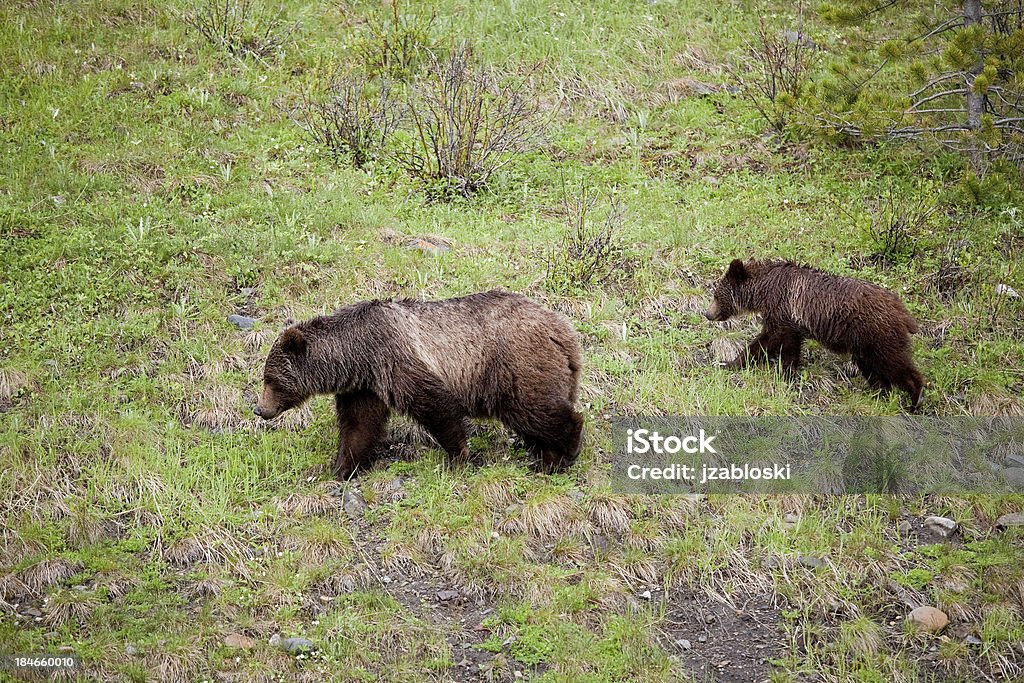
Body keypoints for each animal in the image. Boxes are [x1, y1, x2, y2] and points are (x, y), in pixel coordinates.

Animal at [253, 290, 585, 479]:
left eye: (271, 380)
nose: (260, 409)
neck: (356, 355)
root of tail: (563, 329)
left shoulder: (395, 358)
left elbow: (435, 405)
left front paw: (458, 456)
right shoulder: (365, 387)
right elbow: (359, 427)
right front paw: (342, 467)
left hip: (514, 364)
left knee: (537, 409)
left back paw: (563, 453)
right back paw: (545, 455)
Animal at [708, 259, 925, 411]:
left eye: (716, 295)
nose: (707, 313)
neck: (763, 290)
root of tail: (904, 312)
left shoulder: (782, 310)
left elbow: (769, 339)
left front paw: (734, 362)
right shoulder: (792, 321)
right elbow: (788, 345)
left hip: (878, 334)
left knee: (894, 363)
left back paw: (915, 399)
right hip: (864, 343)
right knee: (872, 367)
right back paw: (880, 394)